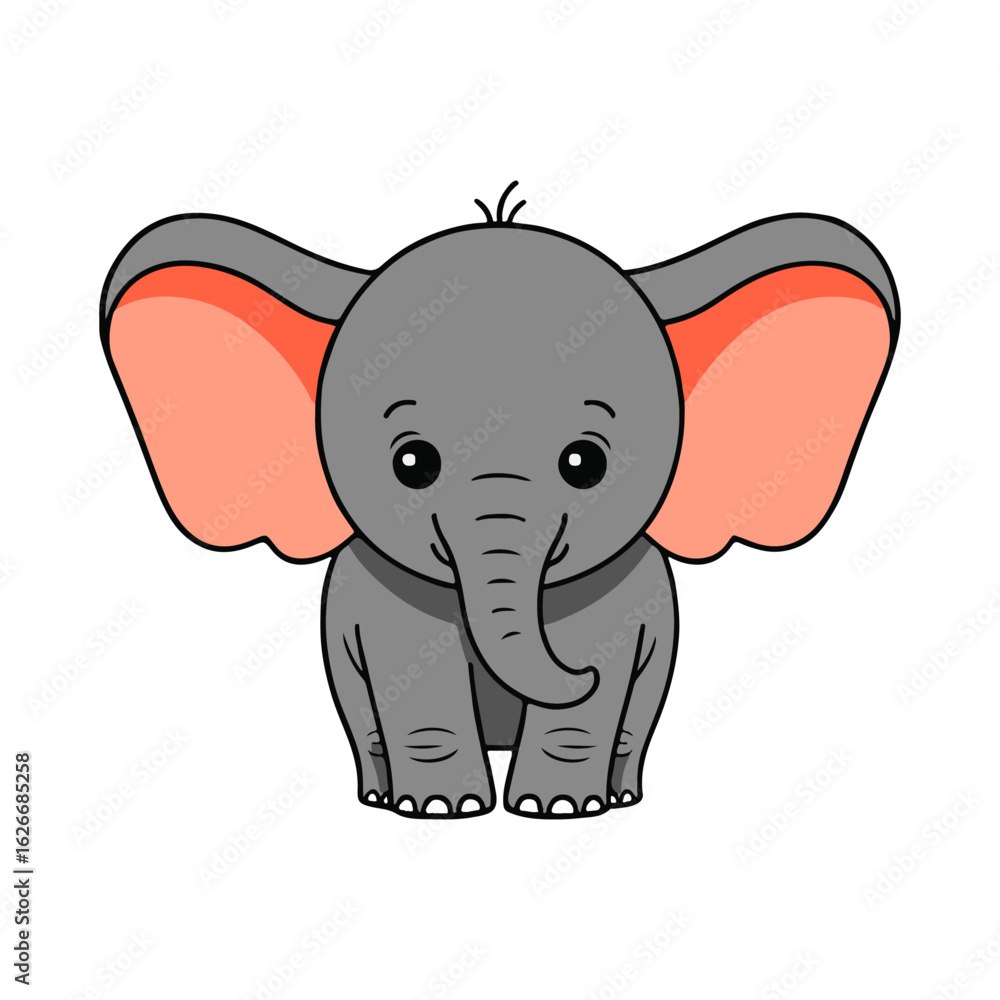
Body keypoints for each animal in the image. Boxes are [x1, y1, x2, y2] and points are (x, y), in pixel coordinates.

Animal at [100, 183, 899, 819]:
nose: (577, 675)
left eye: (586, 464)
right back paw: (380, 797)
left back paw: (620, 796)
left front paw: (559, 809)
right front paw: (440, 810)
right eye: (411, 464)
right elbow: (415, 676)